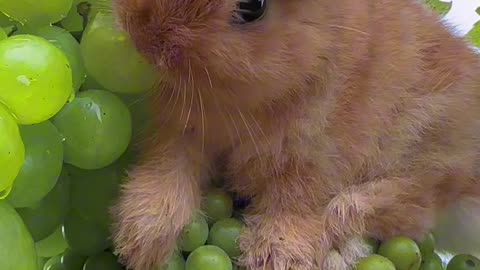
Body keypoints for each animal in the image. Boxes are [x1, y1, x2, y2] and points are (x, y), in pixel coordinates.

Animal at [110, 0, 480, 268]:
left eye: (253, 6)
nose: (143, 36)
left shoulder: (312, 160)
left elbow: (293, 204)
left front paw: (275, 257)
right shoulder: (181, 131)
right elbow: (168, 170)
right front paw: (141, 240)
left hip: (430, 155)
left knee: (384, 205)